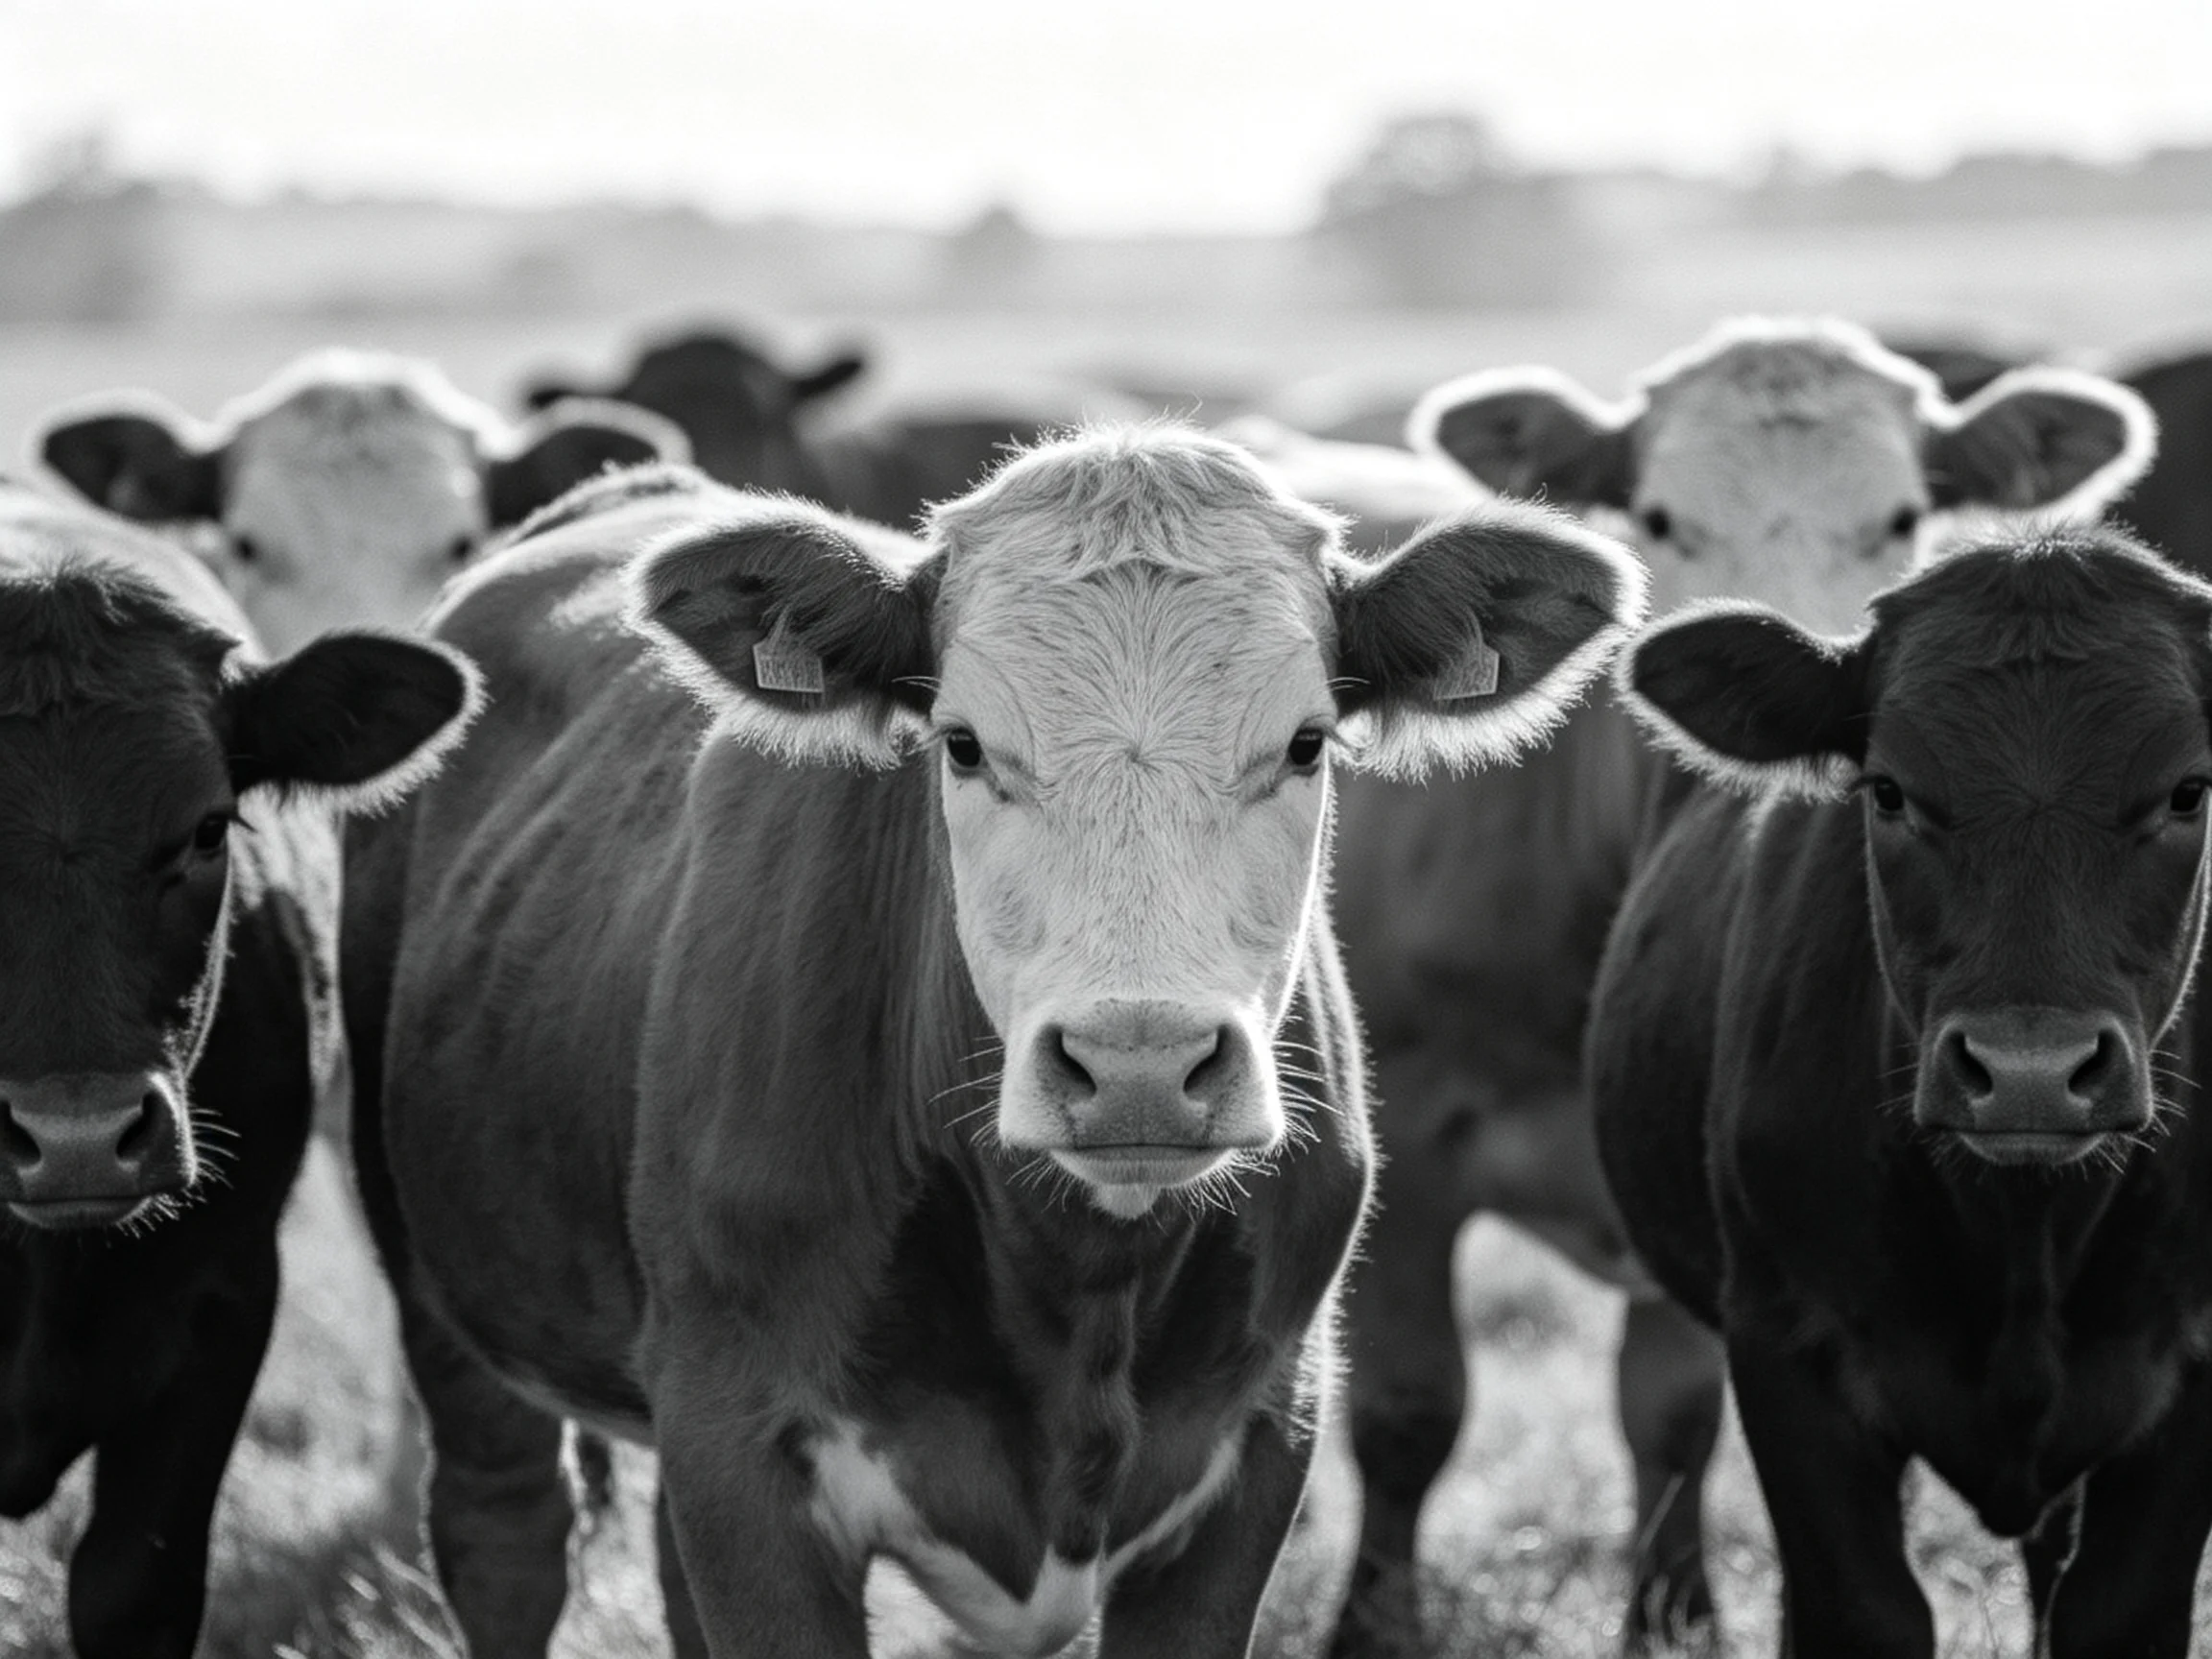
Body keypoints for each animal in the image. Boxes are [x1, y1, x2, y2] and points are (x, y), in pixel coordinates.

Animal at [338, 426, 1647, 1657]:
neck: (1075, 1287)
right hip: (445, 1295)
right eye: (962, 743)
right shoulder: (742, 1458)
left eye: (1308, 743)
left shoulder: (1262, 1436)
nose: (1137, 1068)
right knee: (503, 1537)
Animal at [1589, 525, 2212, 1657]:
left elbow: (2115, 1613)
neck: (2022, 1230)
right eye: (1888, 791)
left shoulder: (2190, 1365)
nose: (2029, 1071)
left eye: (2189, 791)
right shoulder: (1786, 1345)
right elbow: (1861, 1610)